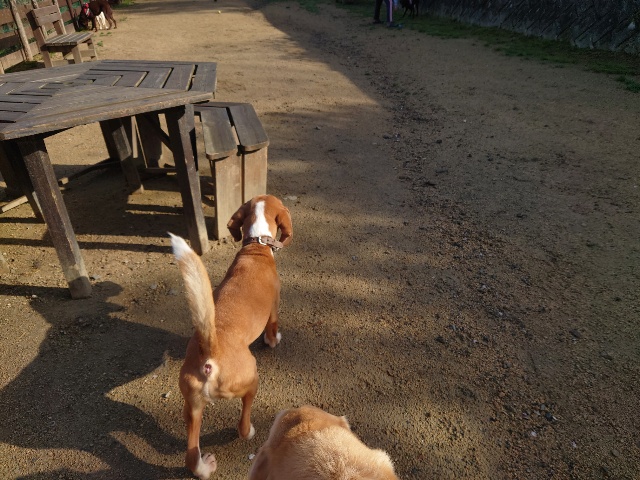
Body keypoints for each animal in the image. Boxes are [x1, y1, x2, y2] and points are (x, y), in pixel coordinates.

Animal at [170, 194, 293, 480]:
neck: (256, 245)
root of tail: (210, 350)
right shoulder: (274, 309)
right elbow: (272, 331)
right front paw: (274, 340)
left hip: (192, 407)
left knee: (191, 455)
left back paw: (204, 467)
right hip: (251, 380)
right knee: (242, 424)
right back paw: (249, 432)